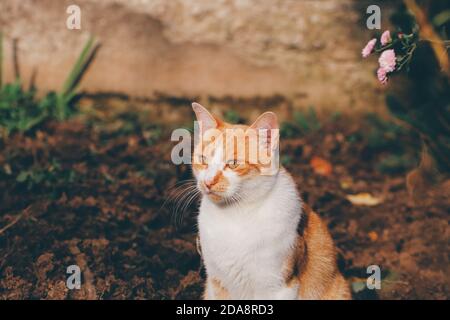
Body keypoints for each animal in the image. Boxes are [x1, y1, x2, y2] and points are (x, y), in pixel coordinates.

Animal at [190, 103, 352, 300]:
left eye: (234, 163)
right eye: (203, 160)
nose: (208, 182)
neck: (235, 214)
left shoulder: (279, 286)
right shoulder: (217, 283)